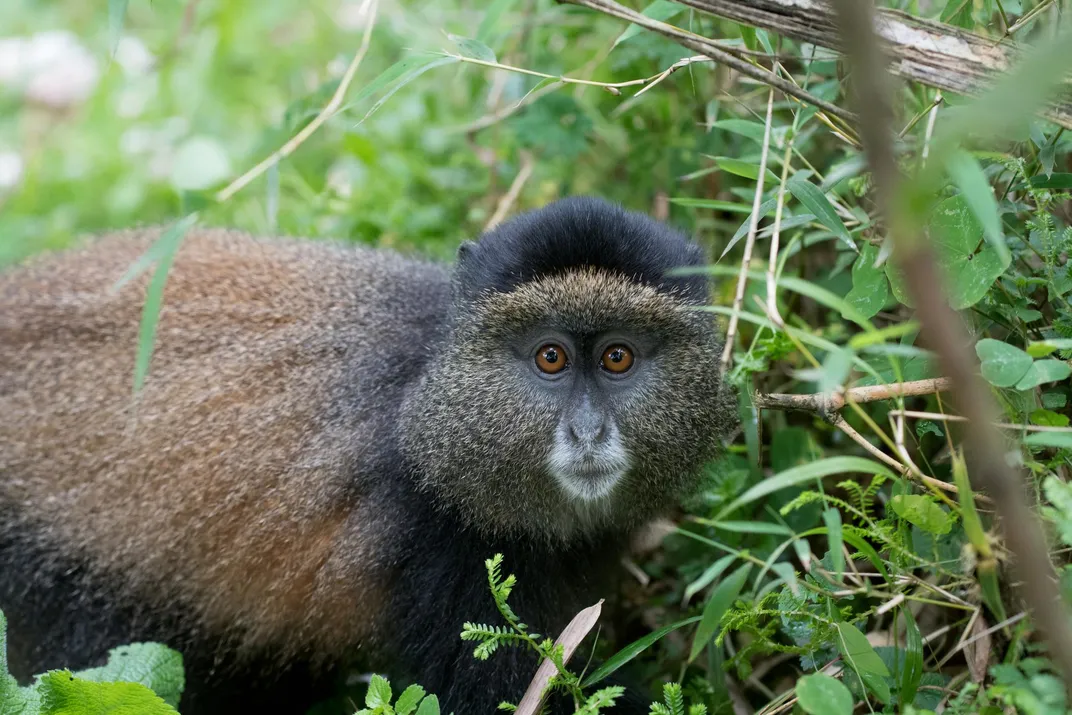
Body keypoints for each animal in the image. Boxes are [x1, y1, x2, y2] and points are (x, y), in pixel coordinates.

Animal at [0, 196, 736, 715]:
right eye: (550, 357)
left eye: (617, 357)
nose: (587, 431)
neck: (430, 392)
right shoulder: (445, 549)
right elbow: (496, 696)